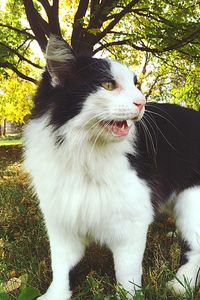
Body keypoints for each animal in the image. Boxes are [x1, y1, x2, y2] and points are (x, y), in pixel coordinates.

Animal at [23, 35, 200, 300]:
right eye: (108, 85)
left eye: (136, 85)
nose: (142, 102)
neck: (85, 154)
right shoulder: (62, 219)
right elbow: (61, 268)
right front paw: (55, 295)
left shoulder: (131, 222)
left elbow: (127, 275)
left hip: (192, 204)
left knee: (195, 249)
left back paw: (181, 283)